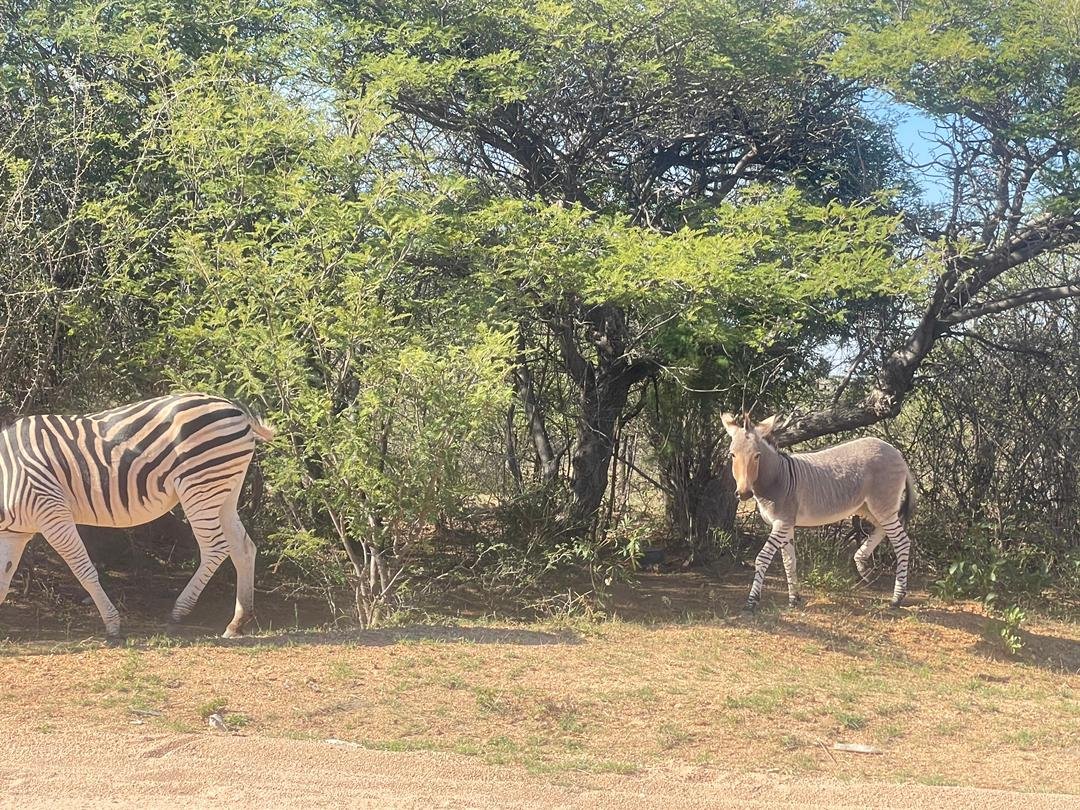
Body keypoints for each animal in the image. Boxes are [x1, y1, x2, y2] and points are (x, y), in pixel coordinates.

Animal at [0, 397, 274, 643]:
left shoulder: (52, 512)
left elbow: (83, 570)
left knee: (215, 548)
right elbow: (4, 576)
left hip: (199, 486)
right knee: (244, 547)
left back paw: (179, 613)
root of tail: (236, 409)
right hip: (225, 491)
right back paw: (237, 622)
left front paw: (113, 626)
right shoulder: (14, 533)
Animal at [721, 414, 915, 613]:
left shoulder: (782, 522)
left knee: (902, 542)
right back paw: (861, 562)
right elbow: (789, 561)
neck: (777, 478)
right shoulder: (787, 524)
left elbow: (762, 558)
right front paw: (794, 599)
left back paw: (897, 598)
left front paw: (751, 601)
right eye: (732, 455)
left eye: (757, 456)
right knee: (882, 530)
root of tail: (895, 451)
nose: (744, 494)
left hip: (883, 505)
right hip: (870, 508)